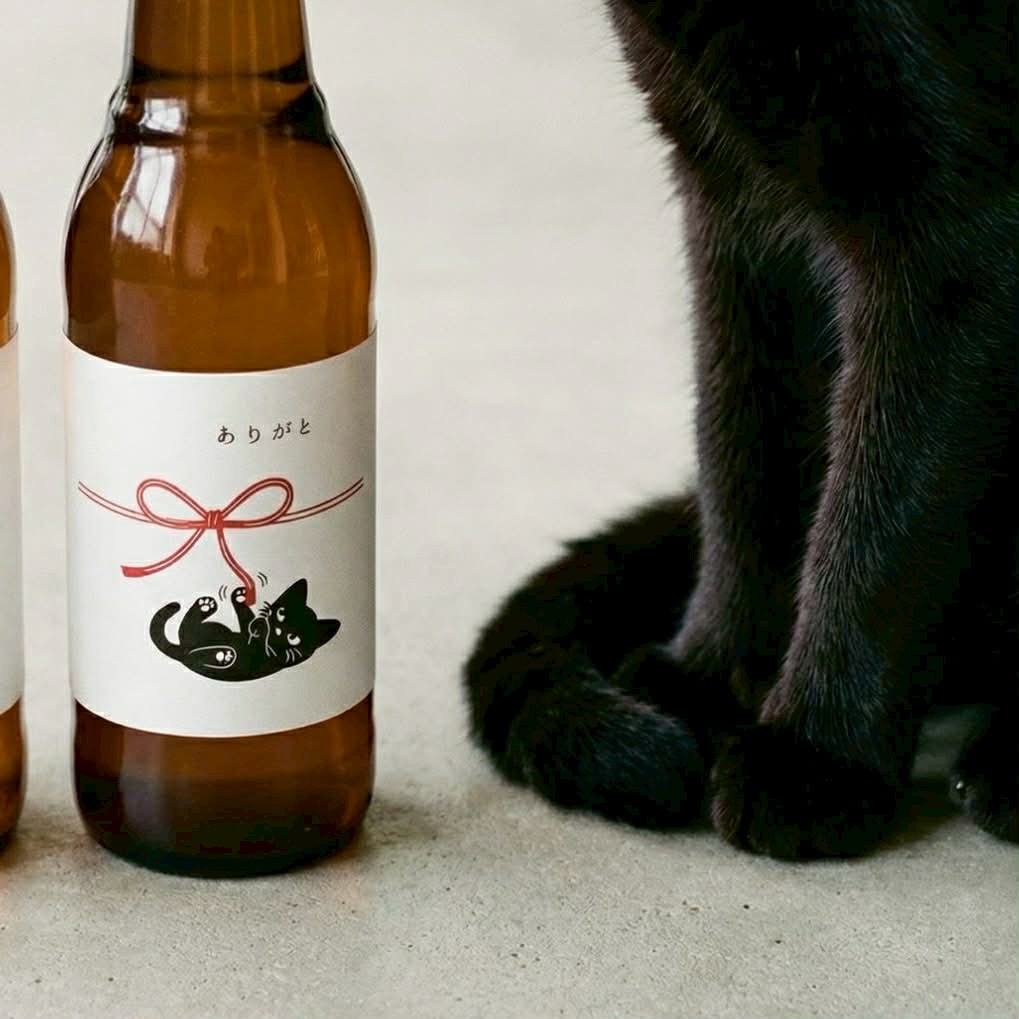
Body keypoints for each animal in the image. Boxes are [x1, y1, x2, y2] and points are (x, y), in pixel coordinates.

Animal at [151, 579, 340, 682]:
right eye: (281, 613)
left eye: (293, 637)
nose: (278, 630)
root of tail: (182, 651)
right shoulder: (247, 632)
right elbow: (248, 620)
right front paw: (240, 598)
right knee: (187, 632)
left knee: (188, 635)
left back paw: (222, 655)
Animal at [465, 0, 1018, 858]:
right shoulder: (734, 199)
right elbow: (744, 456)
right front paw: (711, 676)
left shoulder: (951, 239)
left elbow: (881, 514)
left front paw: (819, 756)